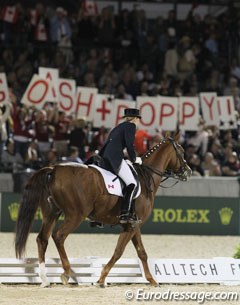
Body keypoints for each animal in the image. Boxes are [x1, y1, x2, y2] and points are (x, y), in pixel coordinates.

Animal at [14, 132, 191, 286]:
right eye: (181, 151)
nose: (188, 171)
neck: (145, 177)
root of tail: (54, 169)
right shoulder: (131, 225)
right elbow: (119, 251)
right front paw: (101, 278)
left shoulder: (134, 224)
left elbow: (142, 252)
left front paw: (152, 280)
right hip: (75, 215)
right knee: (59, 236)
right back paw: (67, 272)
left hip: (52, 213)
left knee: (42, 239)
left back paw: (45, 279)